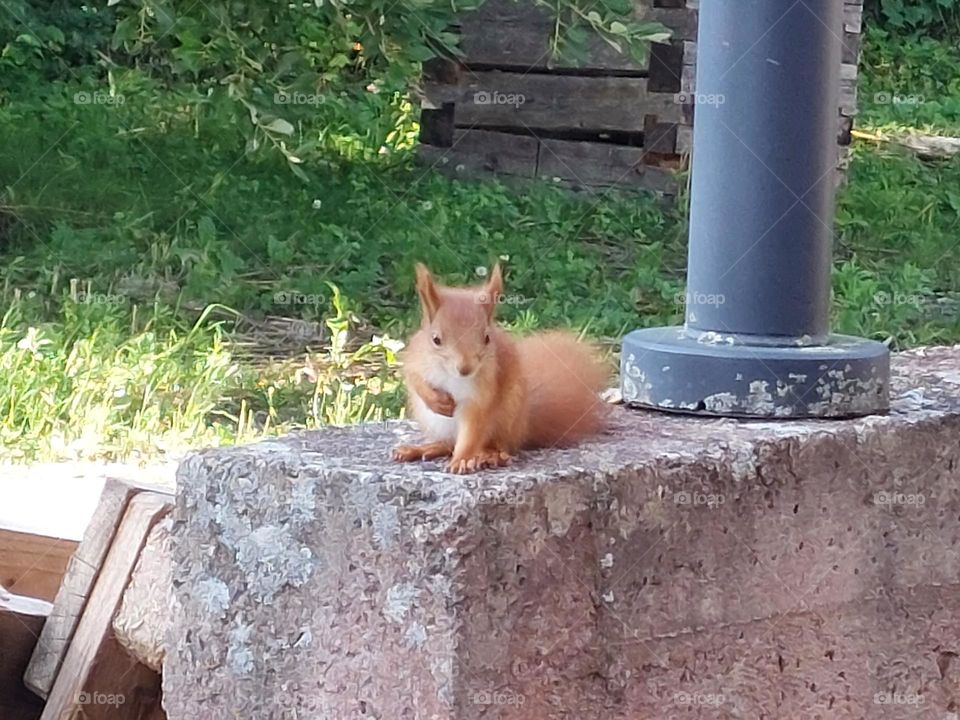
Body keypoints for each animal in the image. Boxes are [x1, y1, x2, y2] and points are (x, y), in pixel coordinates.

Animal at [392, 262, 608, 474]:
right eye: (435, 339)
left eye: (487, 338)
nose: (465, 369)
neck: (451, 375)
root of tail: (523, 425)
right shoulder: (416, 357)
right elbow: (414, 378)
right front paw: (435, 400)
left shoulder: (481, 393)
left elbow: (472, 432)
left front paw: (462, 460)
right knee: (448, 444)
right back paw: (422, 448)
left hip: (507, 419)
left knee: (495, 445)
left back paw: (490, 455)